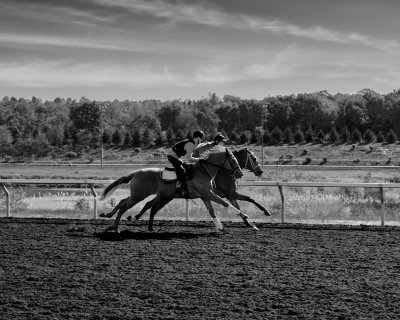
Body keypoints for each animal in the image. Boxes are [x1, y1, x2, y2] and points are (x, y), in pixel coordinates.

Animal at [100, 147, 247, 232]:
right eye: (233, 160)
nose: (240, 173)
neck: (204, 171)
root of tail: (136, 172)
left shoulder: (205, 196)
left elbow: (212, 211)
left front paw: (220, 227)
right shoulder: (208, 193)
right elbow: (225, 203)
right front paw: (243, 215)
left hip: (141, 194)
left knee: (123, 202)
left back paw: (110, 217)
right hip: (140, 195)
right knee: (124, 207)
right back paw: (116, 226)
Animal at [130, 148, 272, 230]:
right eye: (254, 158)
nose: (260, 171)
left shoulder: (227, 194)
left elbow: (242, 203)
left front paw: (250, 222)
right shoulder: (228, 193)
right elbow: (246, 200)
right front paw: (263, 213)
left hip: (165, 196)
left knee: (150, 205)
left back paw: (139, 219)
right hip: (159, 195)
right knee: (148, 205)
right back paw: (136, 218)